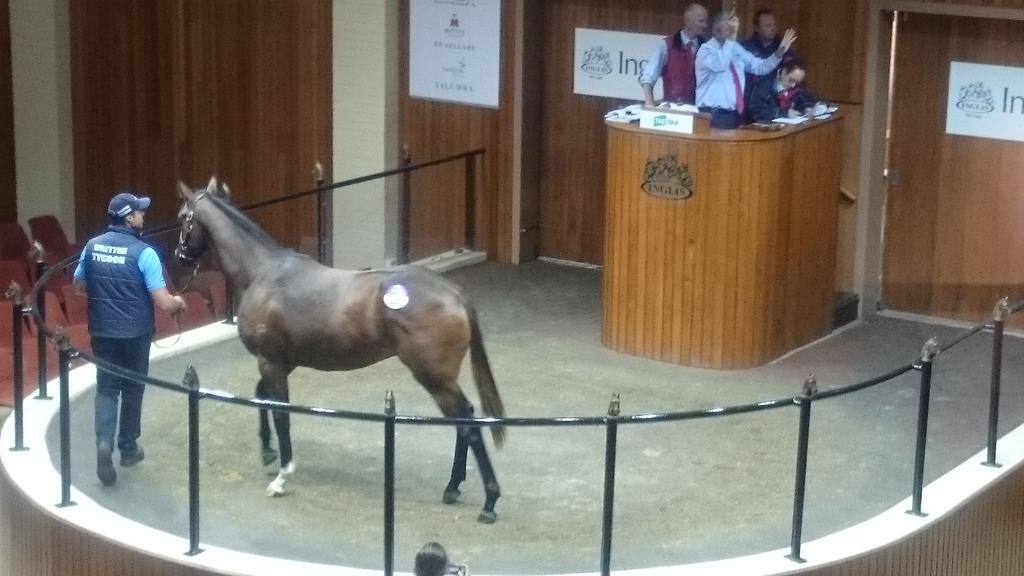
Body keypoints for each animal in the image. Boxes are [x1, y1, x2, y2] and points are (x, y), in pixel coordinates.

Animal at [178, 177, 509, 522]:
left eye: (182, 218)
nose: (180, 255)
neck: (263, 274)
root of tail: (455, 294)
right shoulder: (280, 362)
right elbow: (261, 396)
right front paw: (268, 452)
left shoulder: (270, 362)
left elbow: (280, 413)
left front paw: (282, 476)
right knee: (464, 421)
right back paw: (453, 487)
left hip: (436, 379)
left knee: (467, 426)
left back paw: (489, 500)